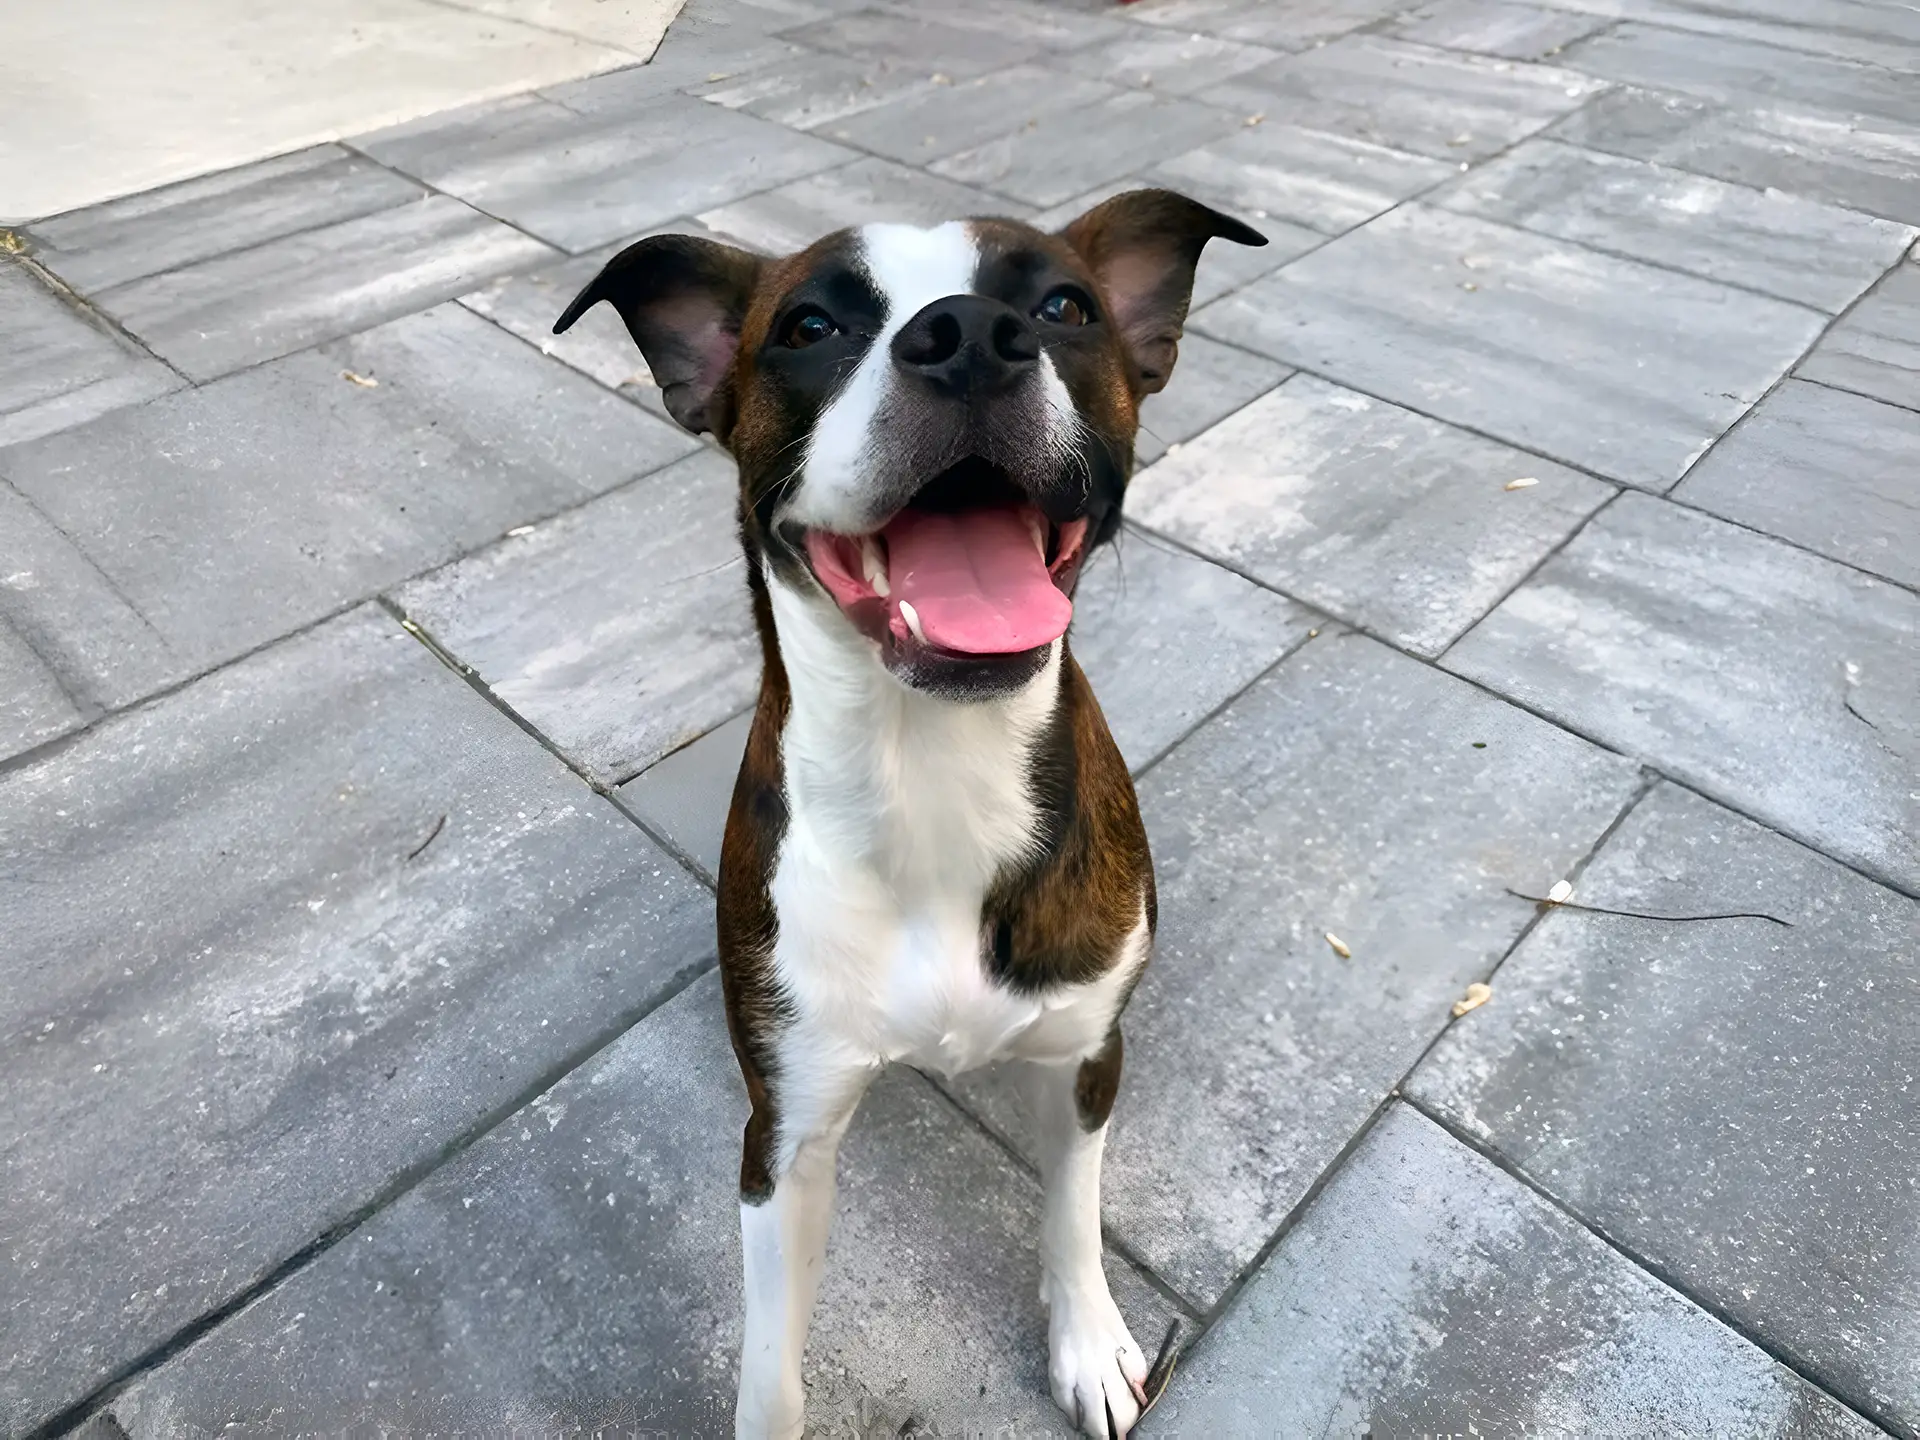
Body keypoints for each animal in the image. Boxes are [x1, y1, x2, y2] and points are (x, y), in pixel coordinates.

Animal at [556, 192, 1267, 1440]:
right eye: (809, 325)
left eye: (1064, 305)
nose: (970, 337)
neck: (935, 769)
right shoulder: (785, 1137)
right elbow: (771, 1366)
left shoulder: (1087, 1057)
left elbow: (1072, 1211)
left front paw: (1089, 1343)